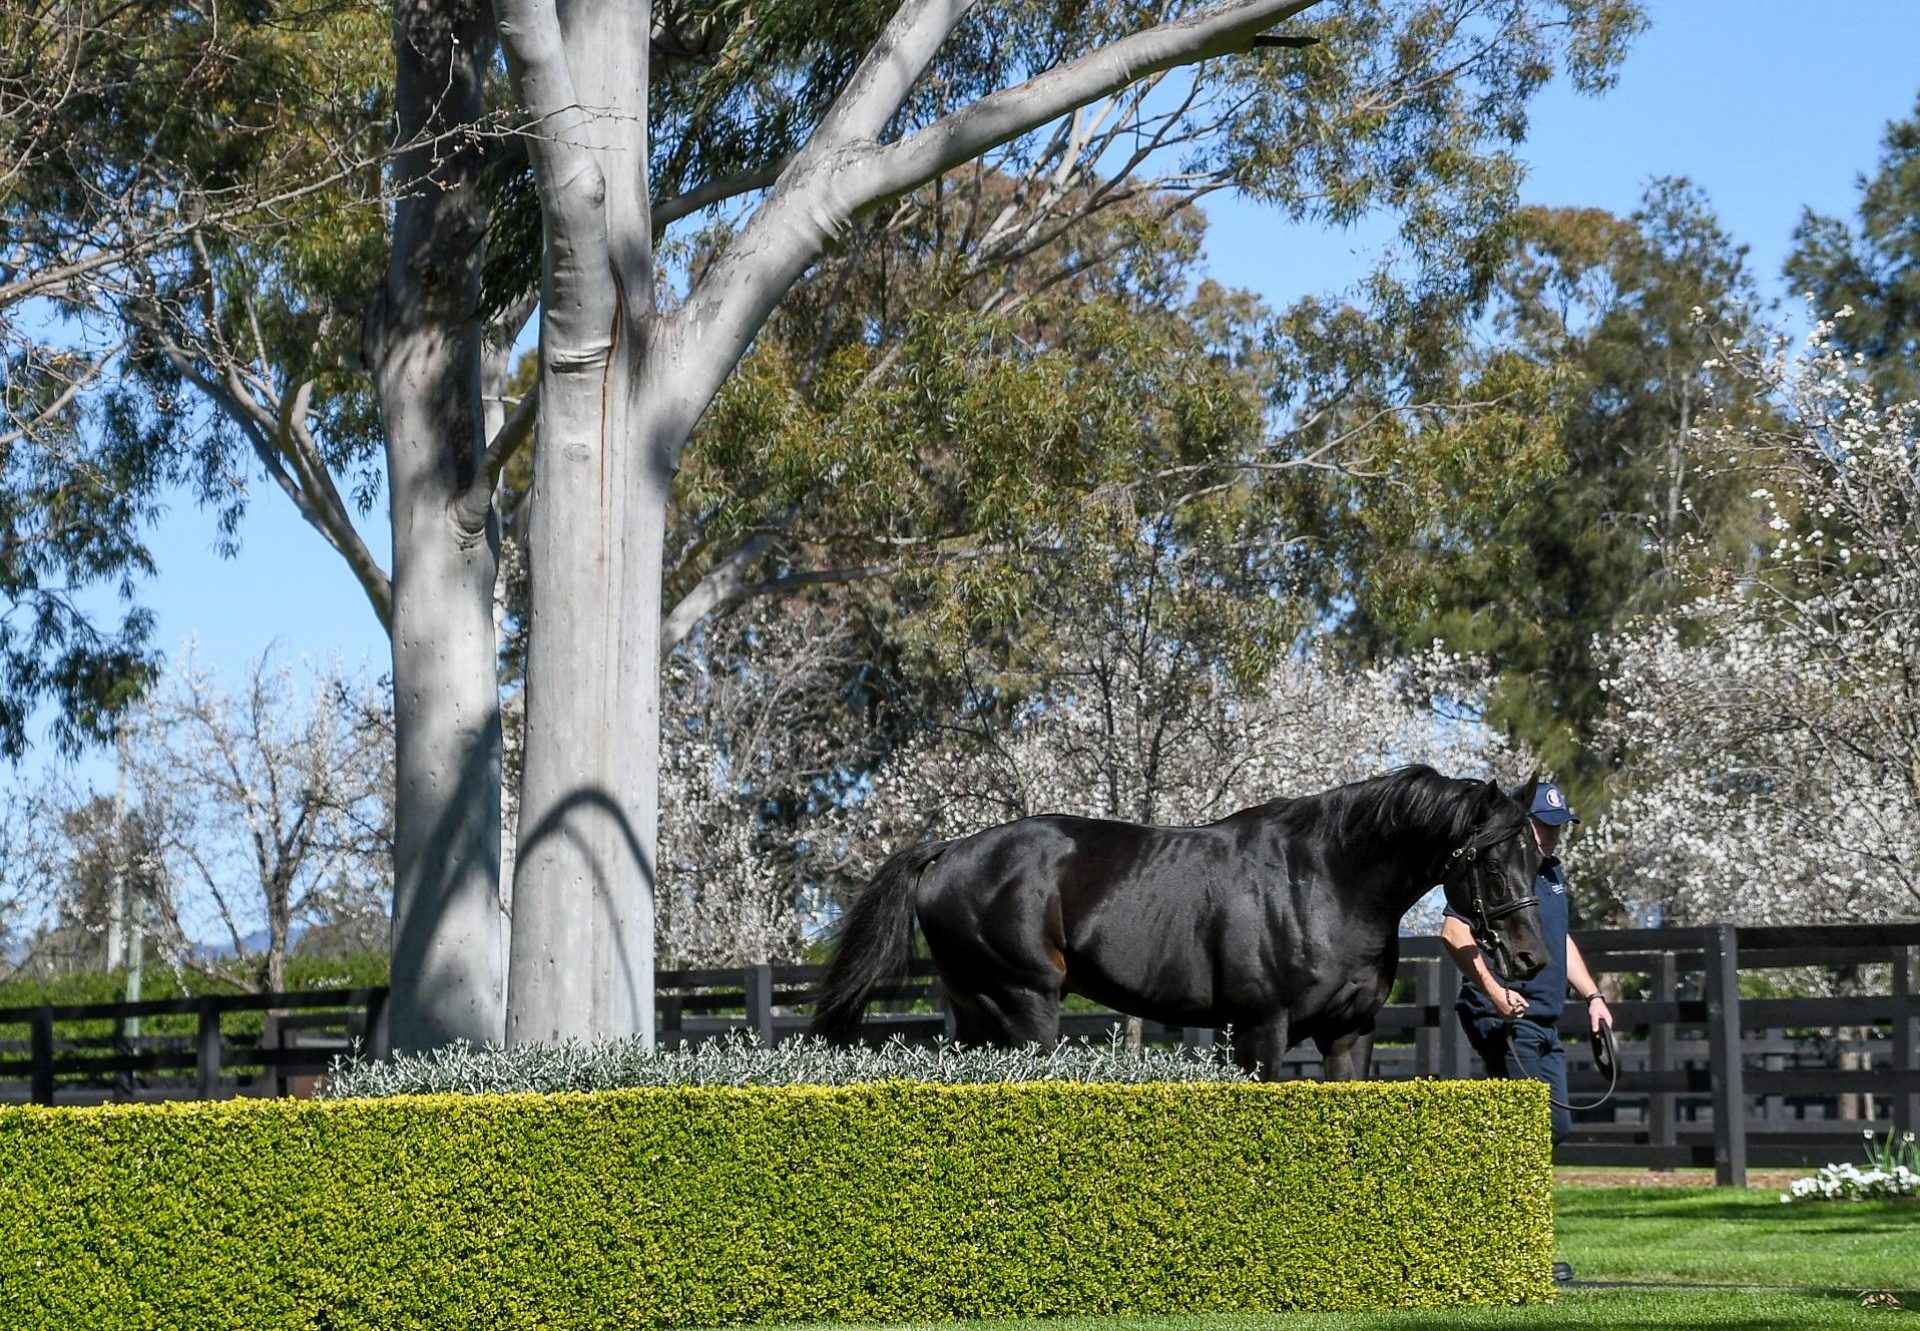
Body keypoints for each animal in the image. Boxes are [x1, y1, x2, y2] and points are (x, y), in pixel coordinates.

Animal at [810, 764, 1543, 1075]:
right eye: (1488, 858)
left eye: (1536, 854)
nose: (1529, 958)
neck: (1325, 881)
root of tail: (949, 852)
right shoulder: (1259, 1031)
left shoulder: (1349, 1033)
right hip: (1024, 1005)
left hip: (978, 1011)